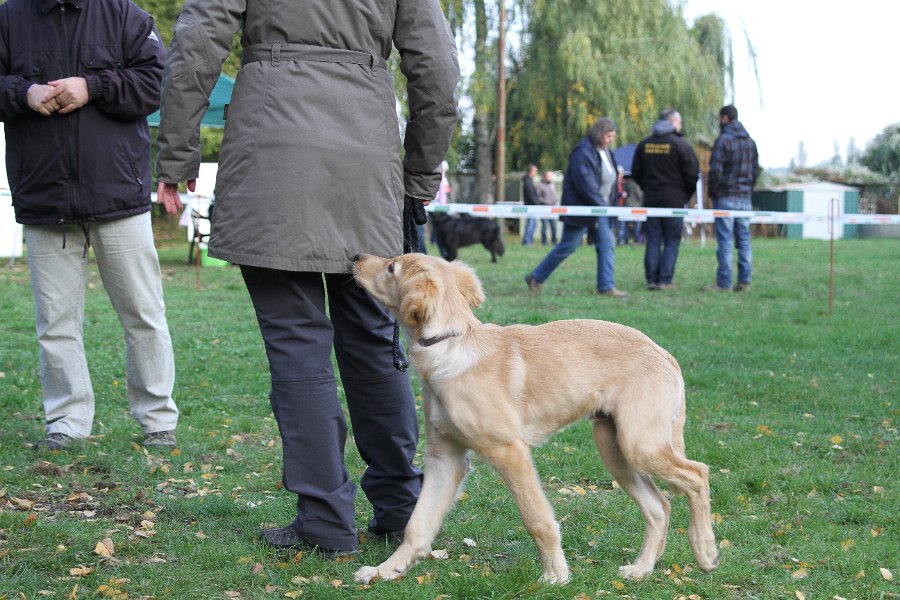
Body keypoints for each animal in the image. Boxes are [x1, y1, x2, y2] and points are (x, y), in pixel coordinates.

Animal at [351, 253, 718, 585]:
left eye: (392, 267)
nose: (355, 257)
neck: (452, 346)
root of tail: (663, 353)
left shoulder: (509, 452)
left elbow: (537, 518)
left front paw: (555, 575)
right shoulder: (446, 458)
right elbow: (418, 524)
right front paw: (386, 571)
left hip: (640, 443)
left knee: (698, 475)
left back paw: (705, 551)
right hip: (614, 447)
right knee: (659, 507)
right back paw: (641, 570)